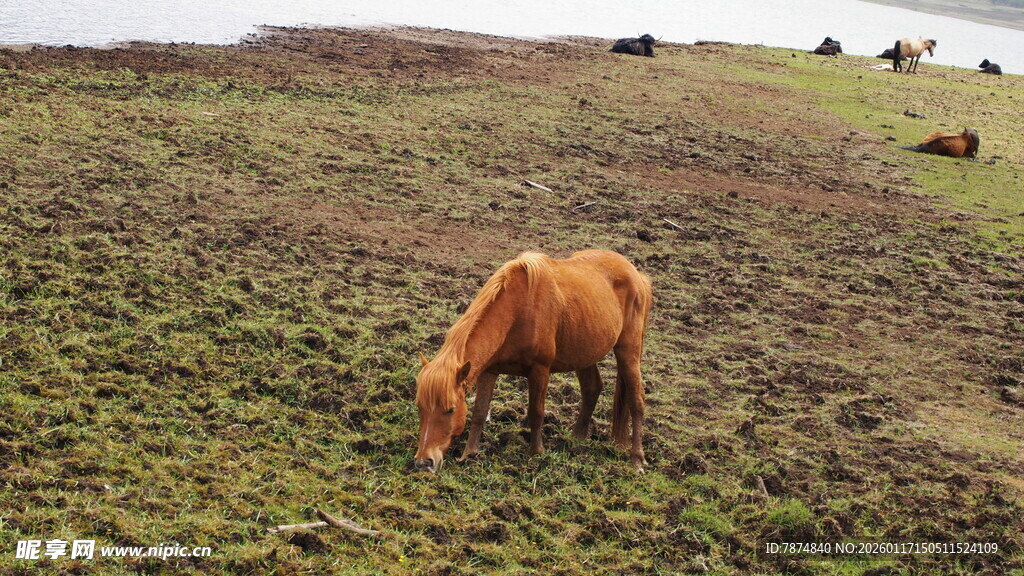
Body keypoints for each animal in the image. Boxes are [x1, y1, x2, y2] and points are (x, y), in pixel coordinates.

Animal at [413, 250, 653, 474]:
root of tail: (635, 273)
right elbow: (480, 412)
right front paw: (469, 454)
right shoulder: (489, 371)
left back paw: (637, 459)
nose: (424, 462)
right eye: (420, 407)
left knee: (636, 400)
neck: (518, 310)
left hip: (628, 351)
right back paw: (576, 440)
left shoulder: (540, 370)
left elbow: (536, 412)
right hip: (585, 352)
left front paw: (536, 453)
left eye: (450, 410)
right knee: (592, 388)